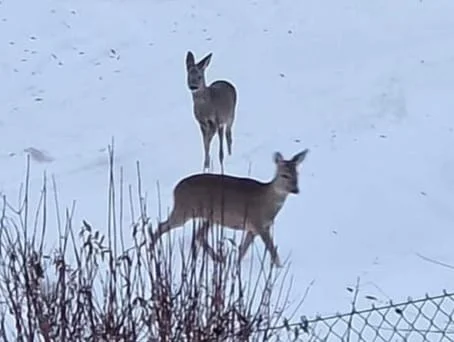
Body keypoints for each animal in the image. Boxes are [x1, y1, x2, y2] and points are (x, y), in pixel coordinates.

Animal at [151, 150, 310, 268]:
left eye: (297, 174)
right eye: (284, 175)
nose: (295, 189)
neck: (266, 202)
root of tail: (175, 189)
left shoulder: (254, 228)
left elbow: (243, 249)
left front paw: (235, 266)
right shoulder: (258, 223)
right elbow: (271, 249)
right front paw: (280, 267)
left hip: (210, 216)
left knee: (199, 235)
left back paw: (218, 258)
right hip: (184, 210)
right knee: (162, 225)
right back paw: (151, 249)